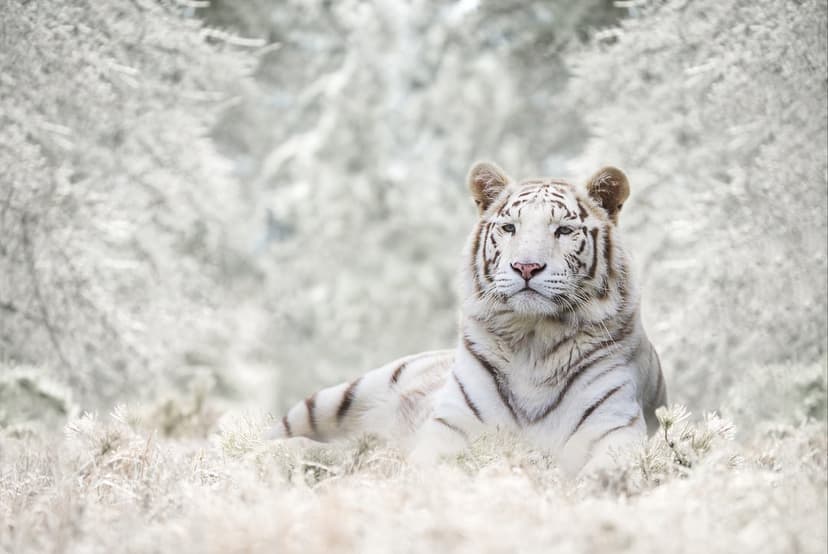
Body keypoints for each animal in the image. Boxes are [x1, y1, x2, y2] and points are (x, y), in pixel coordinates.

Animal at [265, 162, 667, 475]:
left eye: (564, 231)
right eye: (509, 228)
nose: (526, 267)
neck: (534, 341)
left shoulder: (613, 427)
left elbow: (606, 472)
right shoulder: (453, 427)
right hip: (338, 396)